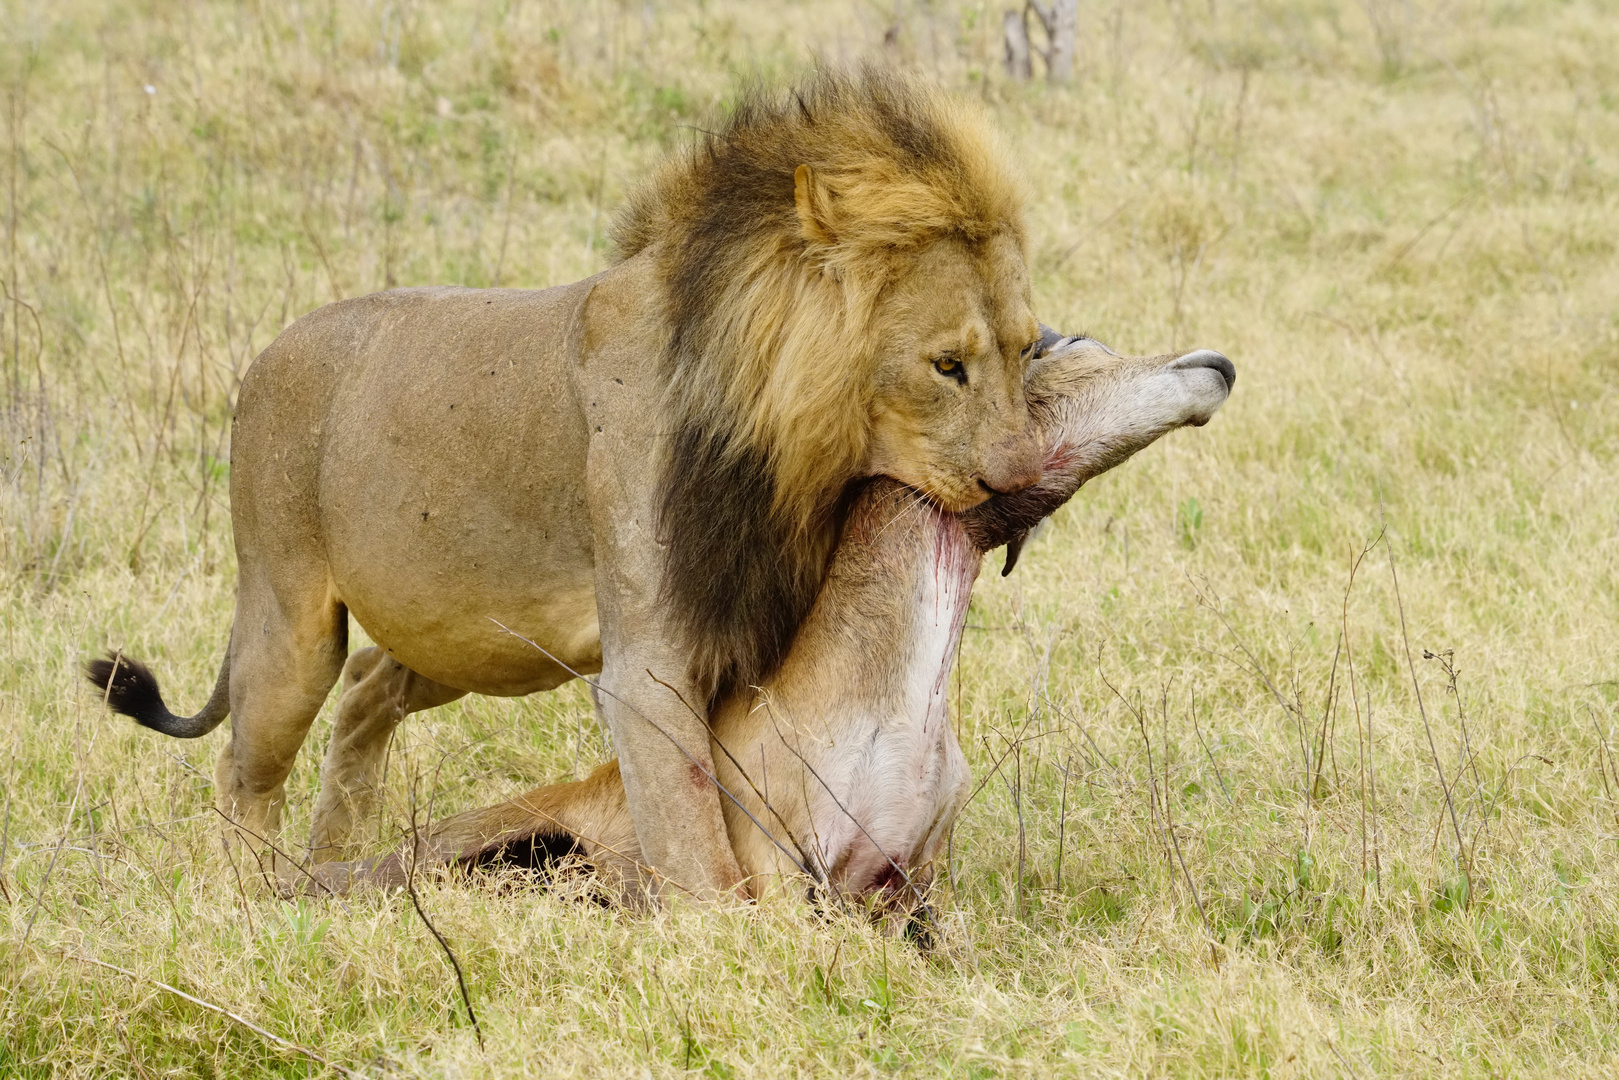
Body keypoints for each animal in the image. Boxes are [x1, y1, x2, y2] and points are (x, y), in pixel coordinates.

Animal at [88, 63, 1042, 900]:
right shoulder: (648, 658)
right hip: (288, 614)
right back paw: (258, 895)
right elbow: (692, 831)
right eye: (946, 365)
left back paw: (337, 861)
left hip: (471, 636)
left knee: (364, 690)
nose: (1024, 481)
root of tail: (267, 354)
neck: (784, 461)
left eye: (1027, 347)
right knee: (246, 763)